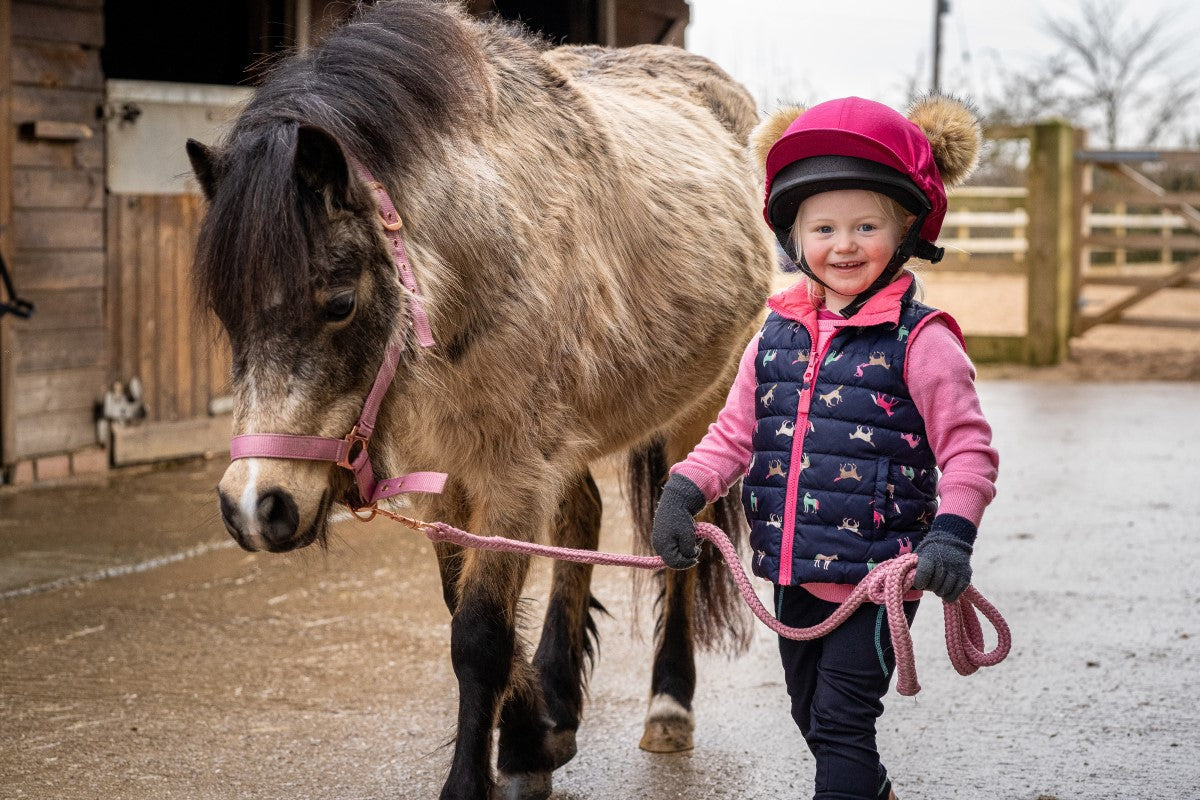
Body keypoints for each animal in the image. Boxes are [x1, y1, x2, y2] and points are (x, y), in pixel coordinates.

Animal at [186, 2, 775, 798]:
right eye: (227, 314)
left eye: (339, 302)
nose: (255, 507)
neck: (486, 242)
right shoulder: (452, 473)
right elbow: (461, 607)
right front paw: (533, 738)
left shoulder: (510, 473)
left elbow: (480, 636)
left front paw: (486, 771)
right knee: (581, 514)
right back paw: (560, 698)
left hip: (699, 409)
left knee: (683, 538)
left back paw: (668, 705)